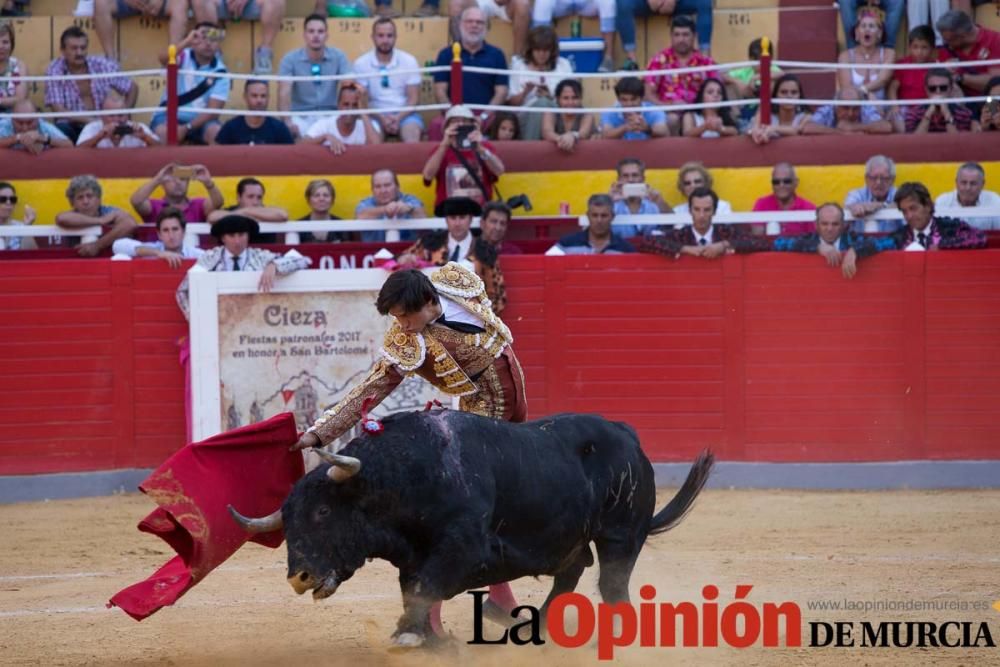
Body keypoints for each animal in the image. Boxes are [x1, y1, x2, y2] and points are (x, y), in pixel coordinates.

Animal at [229, 410, 712, 644]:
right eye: (289, 519)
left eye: (324, 513)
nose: (299, 577)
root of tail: (626, 434)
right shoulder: (413, 556)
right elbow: (415, 589)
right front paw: (429, 638)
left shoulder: (464, 546)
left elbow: (425, 587)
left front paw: (409, 636)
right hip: (570, 539)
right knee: (570, 574)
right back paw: (541, 631)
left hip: (620, 534)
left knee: (612, 585)